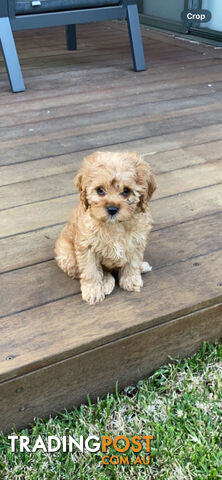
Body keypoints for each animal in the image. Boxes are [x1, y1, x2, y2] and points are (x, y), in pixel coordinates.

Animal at [54, 151, 157, 304]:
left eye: (126, 191)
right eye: (100, 190)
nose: (112, 209)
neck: (115, 225)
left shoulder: (136, 241)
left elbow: (132, 263)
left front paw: (131, 280)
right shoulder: (87, 247)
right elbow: (90, 271)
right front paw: (93, 291)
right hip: (67, 256)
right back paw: (106, 282)